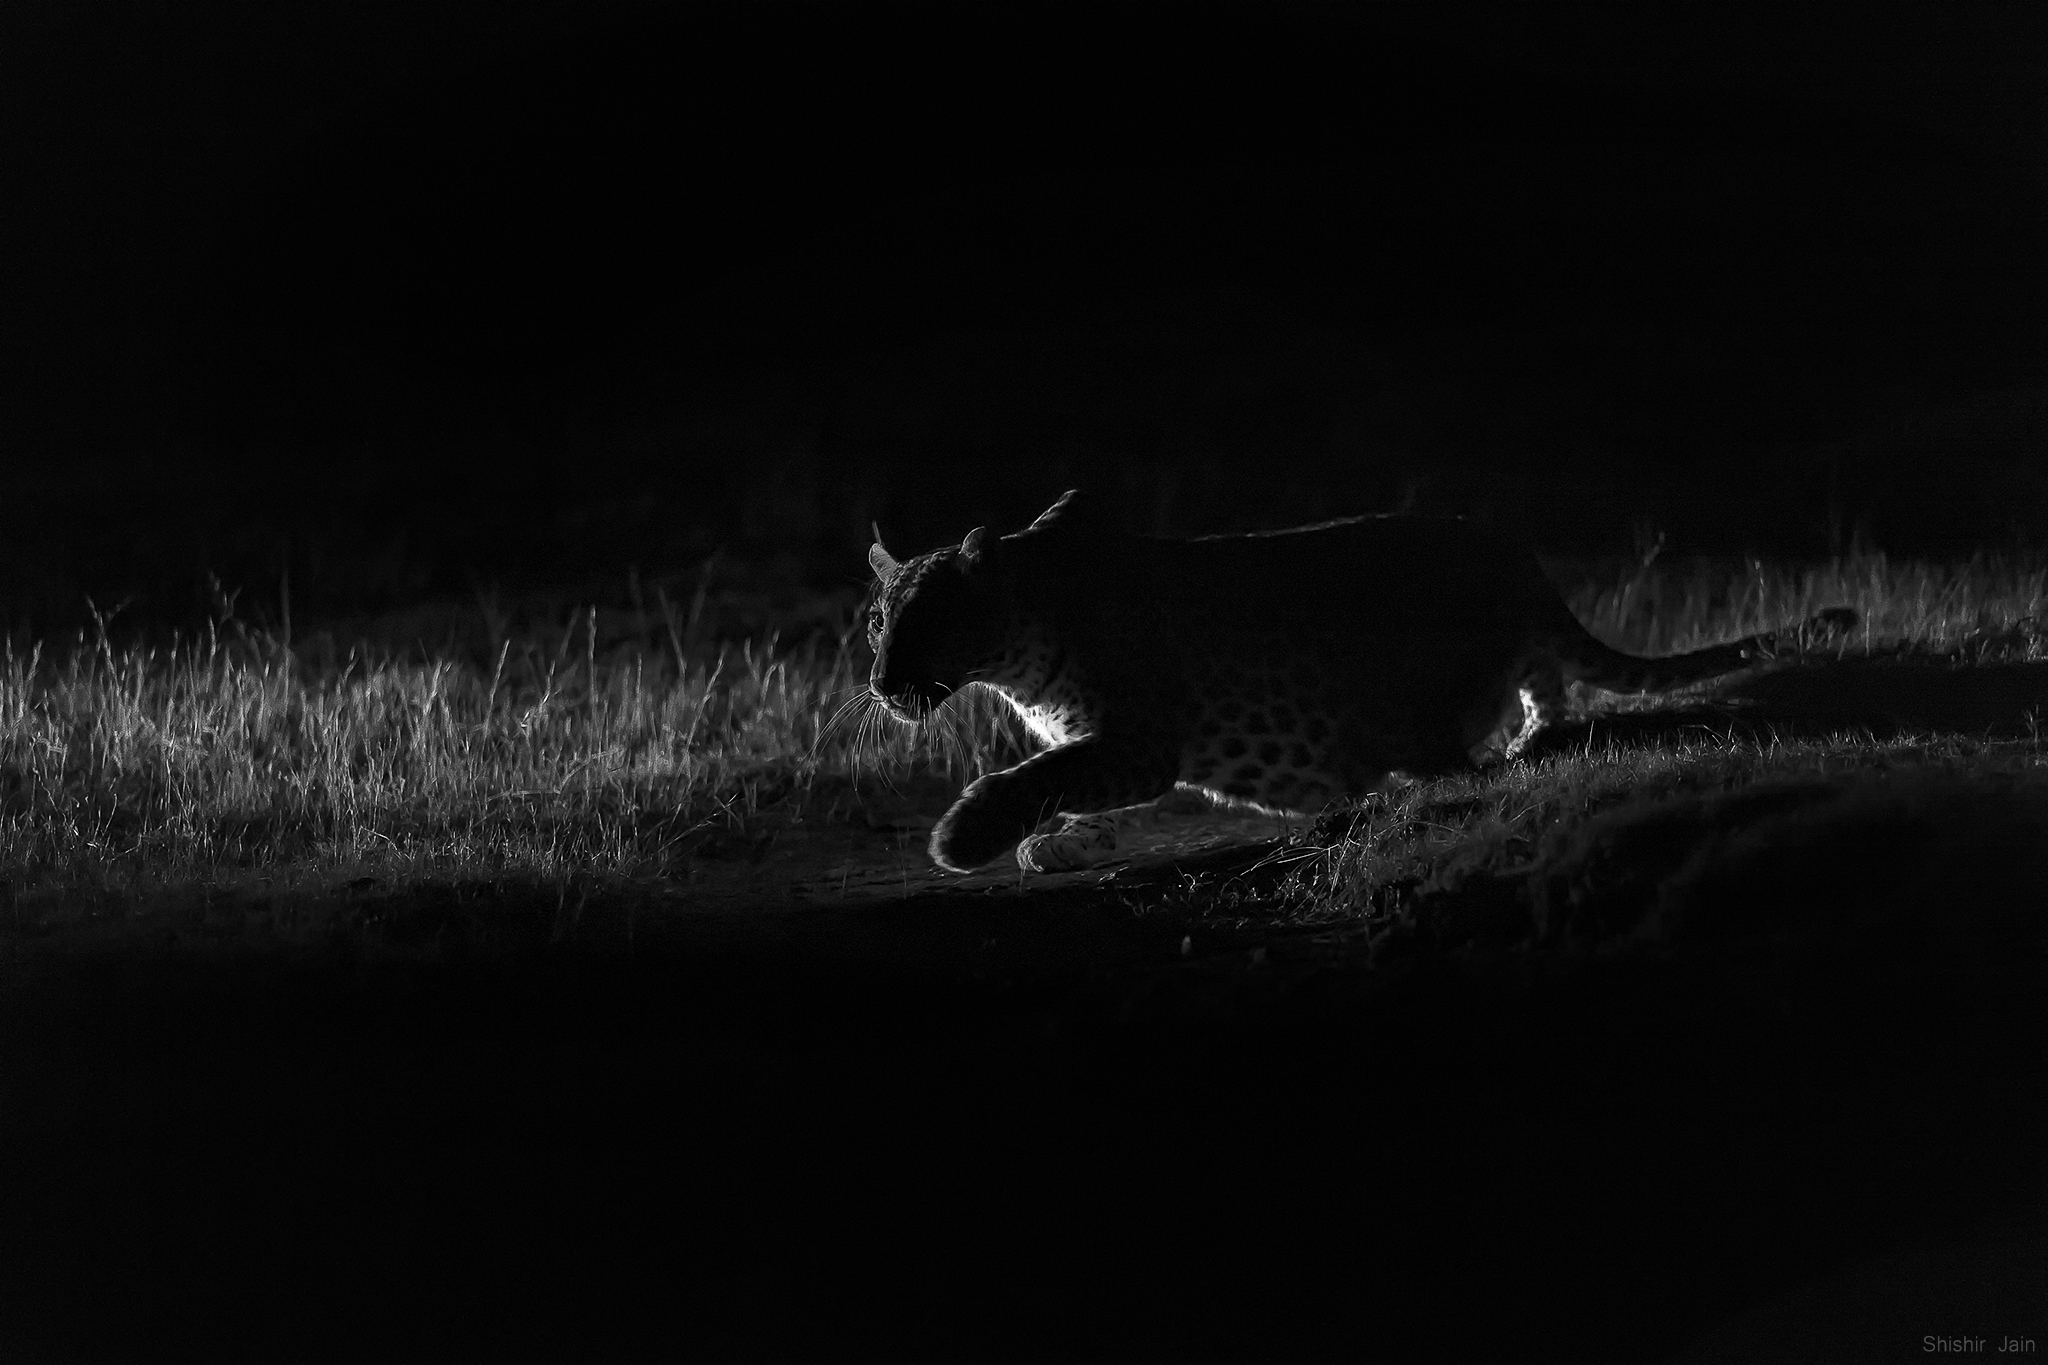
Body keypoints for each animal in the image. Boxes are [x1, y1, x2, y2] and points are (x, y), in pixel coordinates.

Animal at [864, 491, 1859, 875]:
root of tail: (1517, 557)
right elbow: (1073, 780)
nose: (875, 681)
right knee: (1543, 685)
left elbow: (1051, 772)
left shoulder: (1142, 738)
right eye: (877, 622)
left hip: (1422, 701)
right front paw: (1066, 841)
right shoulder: (1111, 741)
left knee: (1482, 744)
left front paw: (967, 833)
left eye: (928, 622)